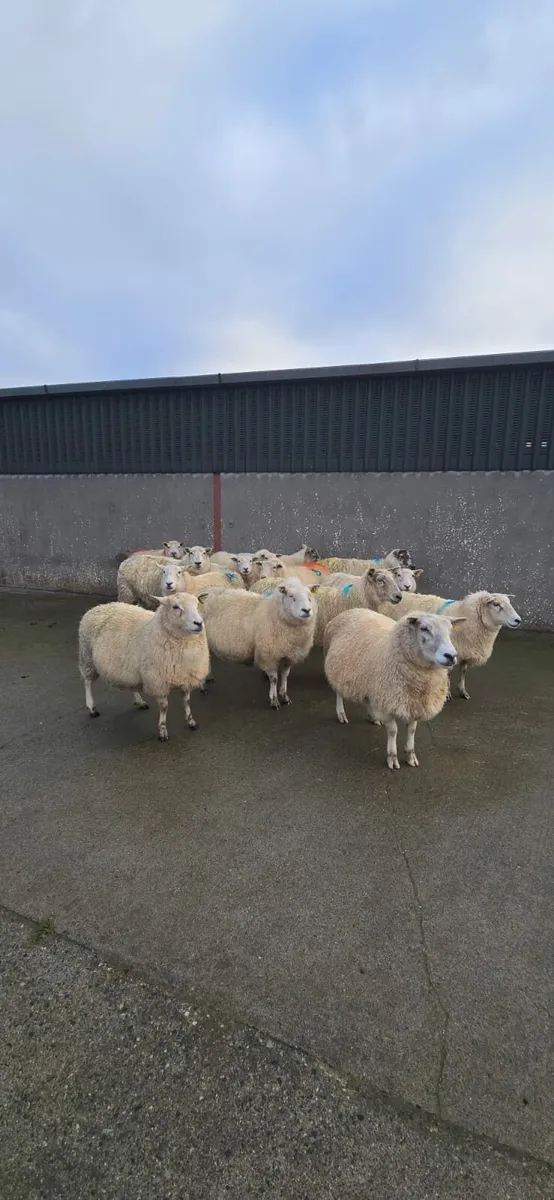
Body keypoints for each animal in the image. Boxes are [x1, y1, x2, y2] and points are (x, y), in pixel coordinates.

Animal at [78, 593, 209, 741]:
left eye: (197, 604)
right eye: (175, 607)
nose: (199, 623)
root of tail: (96, 608)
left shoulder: (185, 678)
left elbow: (187, 701)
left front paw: (191, 721)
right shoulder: (157, 681)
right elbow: (164, 706)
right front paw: (162, 730)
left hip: (128, 669)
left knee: (130, 685)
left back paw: (139, 701)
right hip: (87, 657)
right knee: (87, 682)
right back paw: (91, 707)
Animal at [200, 576, 317, 708]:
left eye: (309, 596)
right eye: (291, 596)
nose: (306, 610)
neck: (276, 614)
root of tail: (201, 591)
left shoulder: (289, 655)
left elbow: (285, 676)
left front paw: (285, 696)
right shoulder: (268, 655)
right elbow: (274, 679)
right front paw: (274, 700)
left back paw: (208, 677)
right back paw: (202, 687)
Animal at [324, 608, 462, 769]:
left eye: (450, 630)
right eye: (424, 629)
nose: (451, 656)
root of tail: (352, 610)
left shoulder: (413, 703)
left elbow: (412, 730)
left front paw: (410, 755)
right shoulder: (388, 702)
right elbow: (393, 731)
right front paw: (392, 757)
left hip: (369, 682)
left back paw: (372, 717)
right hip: (337, 669)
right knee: (338, 693)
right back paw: (341, 714)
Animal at [377, 590, 522, 698]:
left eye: (509, 603)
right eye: (496, 604)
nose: (518, 620)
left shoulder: (465, 651)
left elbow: (463, 671)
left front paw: (463, 691)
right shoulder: (450, 651)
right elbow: (449, 673)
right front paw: (447, 693)